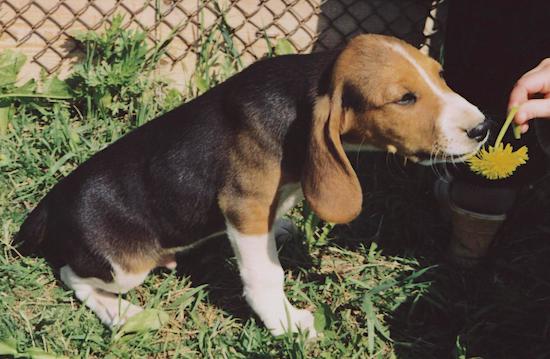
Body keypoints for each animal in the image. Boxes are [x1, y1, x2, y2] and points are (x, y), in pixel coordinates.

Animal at [17, 33, 490, 338]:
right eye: (404, 99)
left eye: (441, 75)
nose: (483, 127)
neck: (302, 94)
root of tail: (49, 206)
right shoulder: (244, 206)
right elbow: (266, 275)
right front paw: (284, 322)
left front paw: (281, 229)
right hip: (124, 267)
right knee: (71, 275)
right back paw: (123, 313)